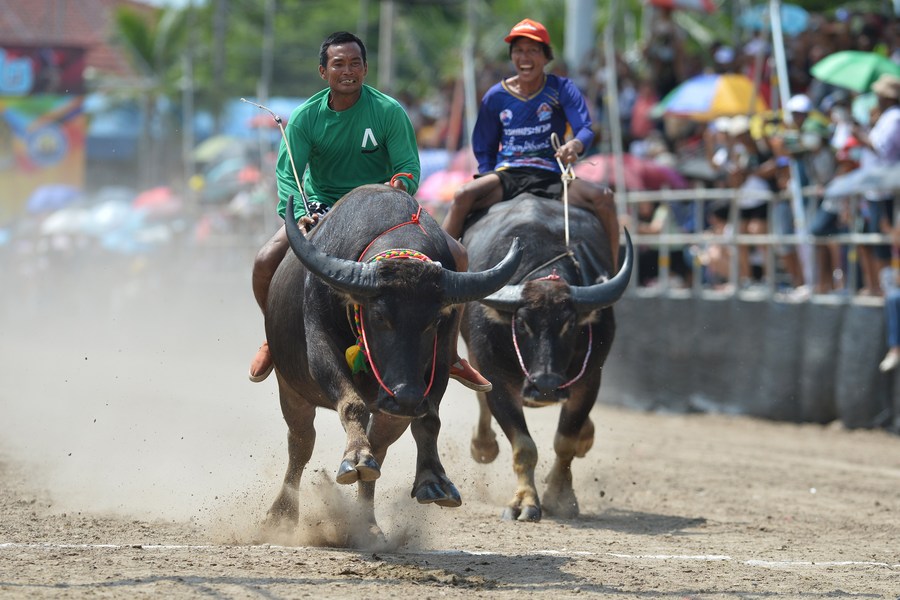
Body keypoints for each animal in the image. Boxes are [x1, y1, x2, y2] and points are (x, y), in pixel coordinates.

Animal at [264, 184, 520, 540]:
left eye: (433, 321)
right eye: (379, 316)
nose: (406, 397)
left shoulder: (439, 358)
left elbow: (429, 419)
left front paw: (433, 480)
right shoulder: (319, 348)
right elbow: (351, 404)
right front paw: (354, 458)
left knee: (380, 448)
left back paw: (367, 525)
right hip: (292, 389)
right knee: (301, 445)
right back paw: (282, 515)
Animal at [460, 196, 628, 520]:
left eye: (570, 325)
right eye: (523, 323)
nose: (546, 386)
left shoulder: (589, 381)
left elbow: (565, 442)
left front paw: (560, 496)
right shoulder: (498, 378)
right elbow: (524, 446)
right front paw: (524, 502)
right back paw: (482, 445)